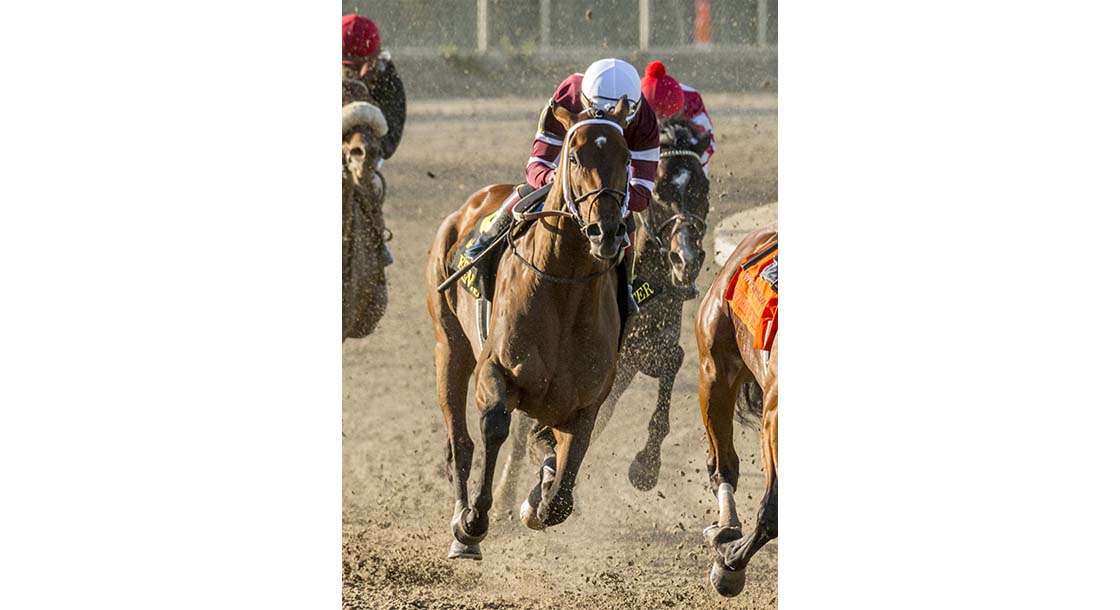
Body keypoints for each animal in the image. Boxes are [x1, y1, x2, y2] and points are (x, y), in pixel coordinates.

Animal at [425, 97, 636, 559]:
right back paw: (461, 526)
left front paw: (536, 499)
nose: (606, 231)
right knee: (460, 440)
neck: (563, 290)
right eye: (573, 156)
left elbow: (559, 496)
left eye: (627, 157)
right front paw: (474, 521)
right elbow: (494, 427)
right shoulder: (495, 371)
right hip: (449, 345)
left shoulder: (584, 405)